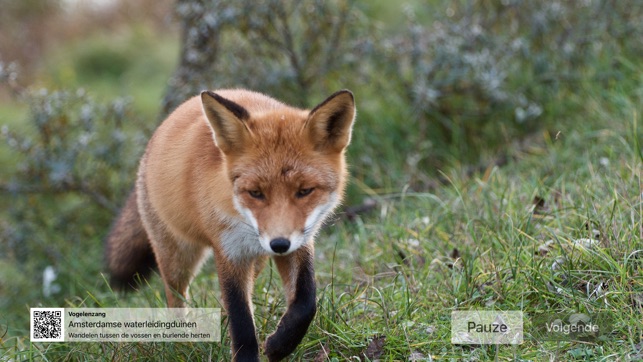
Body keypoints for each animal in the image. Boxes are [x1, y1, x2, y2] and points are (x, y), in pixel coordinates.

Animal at [105, 89, 358, 360]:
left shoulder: (299, 243)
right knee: (176, 297)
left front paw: (280, 345)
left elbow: (306, 302)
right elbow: (241, 319)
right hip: (178, 256)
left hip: (256, 261)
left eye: (305, 191)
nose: (279, 244)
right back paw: (183, 341)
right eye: (256, 193)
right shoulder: (230, 251)